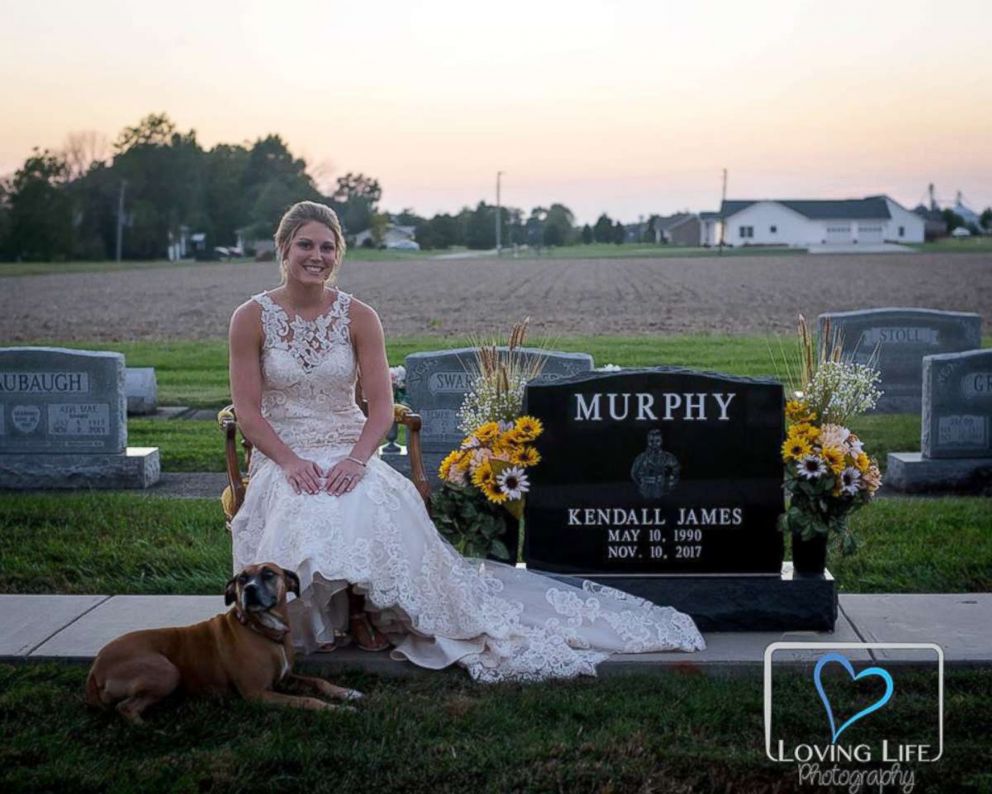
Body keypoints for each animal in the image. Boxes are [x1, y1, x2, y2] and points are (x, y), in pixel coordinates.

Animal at [83, 560, 358, 720]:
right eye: (241, 579)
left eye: (269, 574)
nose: (249, 590)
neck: (263, 631)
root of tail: (95, 668)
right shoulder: (258, 693)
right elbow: (305, 699)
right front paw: (336, 709)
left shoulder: (285, 677)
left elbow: (318, 681)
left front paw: (347, 692)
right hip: (167, 671)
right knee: (126, 708)